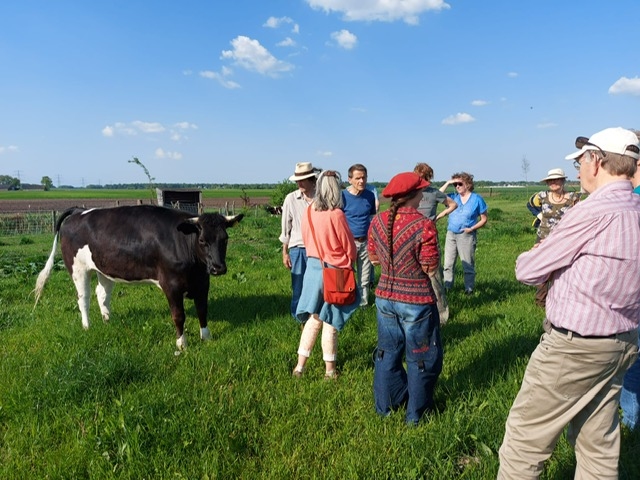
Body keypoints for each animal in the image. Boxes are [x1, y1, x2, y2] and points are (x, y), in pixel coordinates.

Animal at [33, 205, 242, 348]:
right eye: (202, 240)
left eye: (225, 239)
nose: (218, 268)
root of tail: (79, 210)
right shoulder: (171, 285)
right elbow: (178, 316)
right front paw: (182, 344)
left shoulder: (202, 283)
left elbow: (202, 311)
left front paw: (206, 338)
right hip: (78, 268)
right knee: (83, 298)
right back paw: (87, 326)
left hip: (104, 268)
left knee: (102, 293)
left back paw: (107, 320)